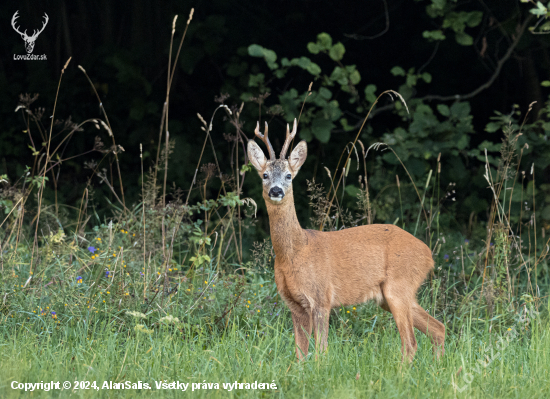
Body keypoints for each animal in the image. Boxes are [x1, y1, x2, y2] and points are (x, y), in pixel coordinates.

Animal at [248, 119, 446, 362]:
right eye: (265, 175)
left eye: (288, 176)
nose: (276, 191)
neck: (297, 250)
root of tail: (428, 254)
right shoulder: (294, 304)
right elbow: (299, 353)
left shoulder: (321, 297)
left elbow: (321, 350)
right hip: (389, 296)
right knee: (438, 328)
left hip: (399, 286)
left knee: (410, 342)